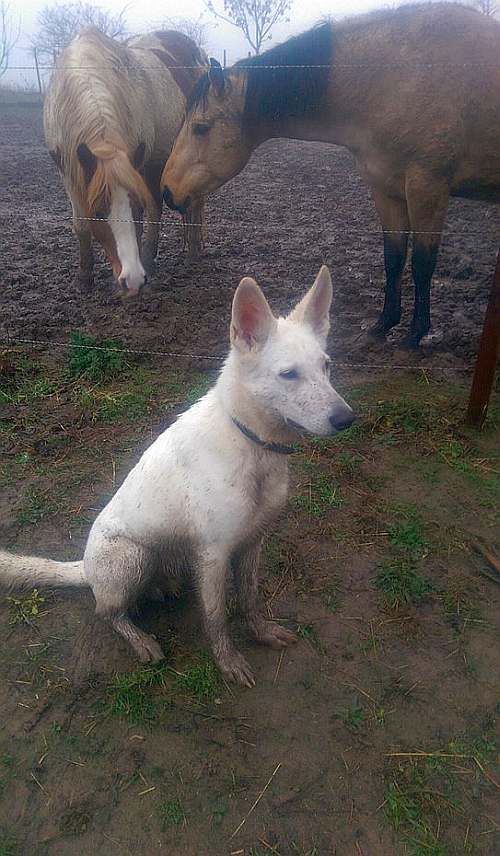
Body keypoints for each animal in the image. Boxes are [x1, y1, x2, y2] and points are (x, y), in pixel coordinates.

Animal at [0, 264, 352, 684]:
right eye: (288, 374)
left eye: (326, 366)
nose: (347, 419)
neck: (250, 443)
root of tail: (84, 567)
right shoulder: (215, 554)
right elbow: (216, 618)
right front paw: (228, 663)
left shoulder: (252, 543)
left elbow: (249, 599)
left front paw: (262, 632)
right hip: (132, 556)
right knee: (107, 612)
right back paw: (139, 639)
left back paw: (162, 590)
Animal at [43, 28, 207, 296]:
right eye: (99, 212)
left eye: (134, 208)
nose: (132, 279)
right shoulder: (68, 172)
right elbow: (81, 224)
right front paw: (84, 277)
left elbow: (142, 219)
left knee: (192, 203)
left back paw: (191, 252)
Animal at [161, 4, 500, 344]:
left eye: (200, 128)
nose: (167, 190)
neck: (394, 78)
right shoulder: (386, 189)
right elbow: (393, 257)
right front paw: (383, 325)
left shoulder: (427, 187)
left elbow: (422, 263)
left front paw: (414, 335)